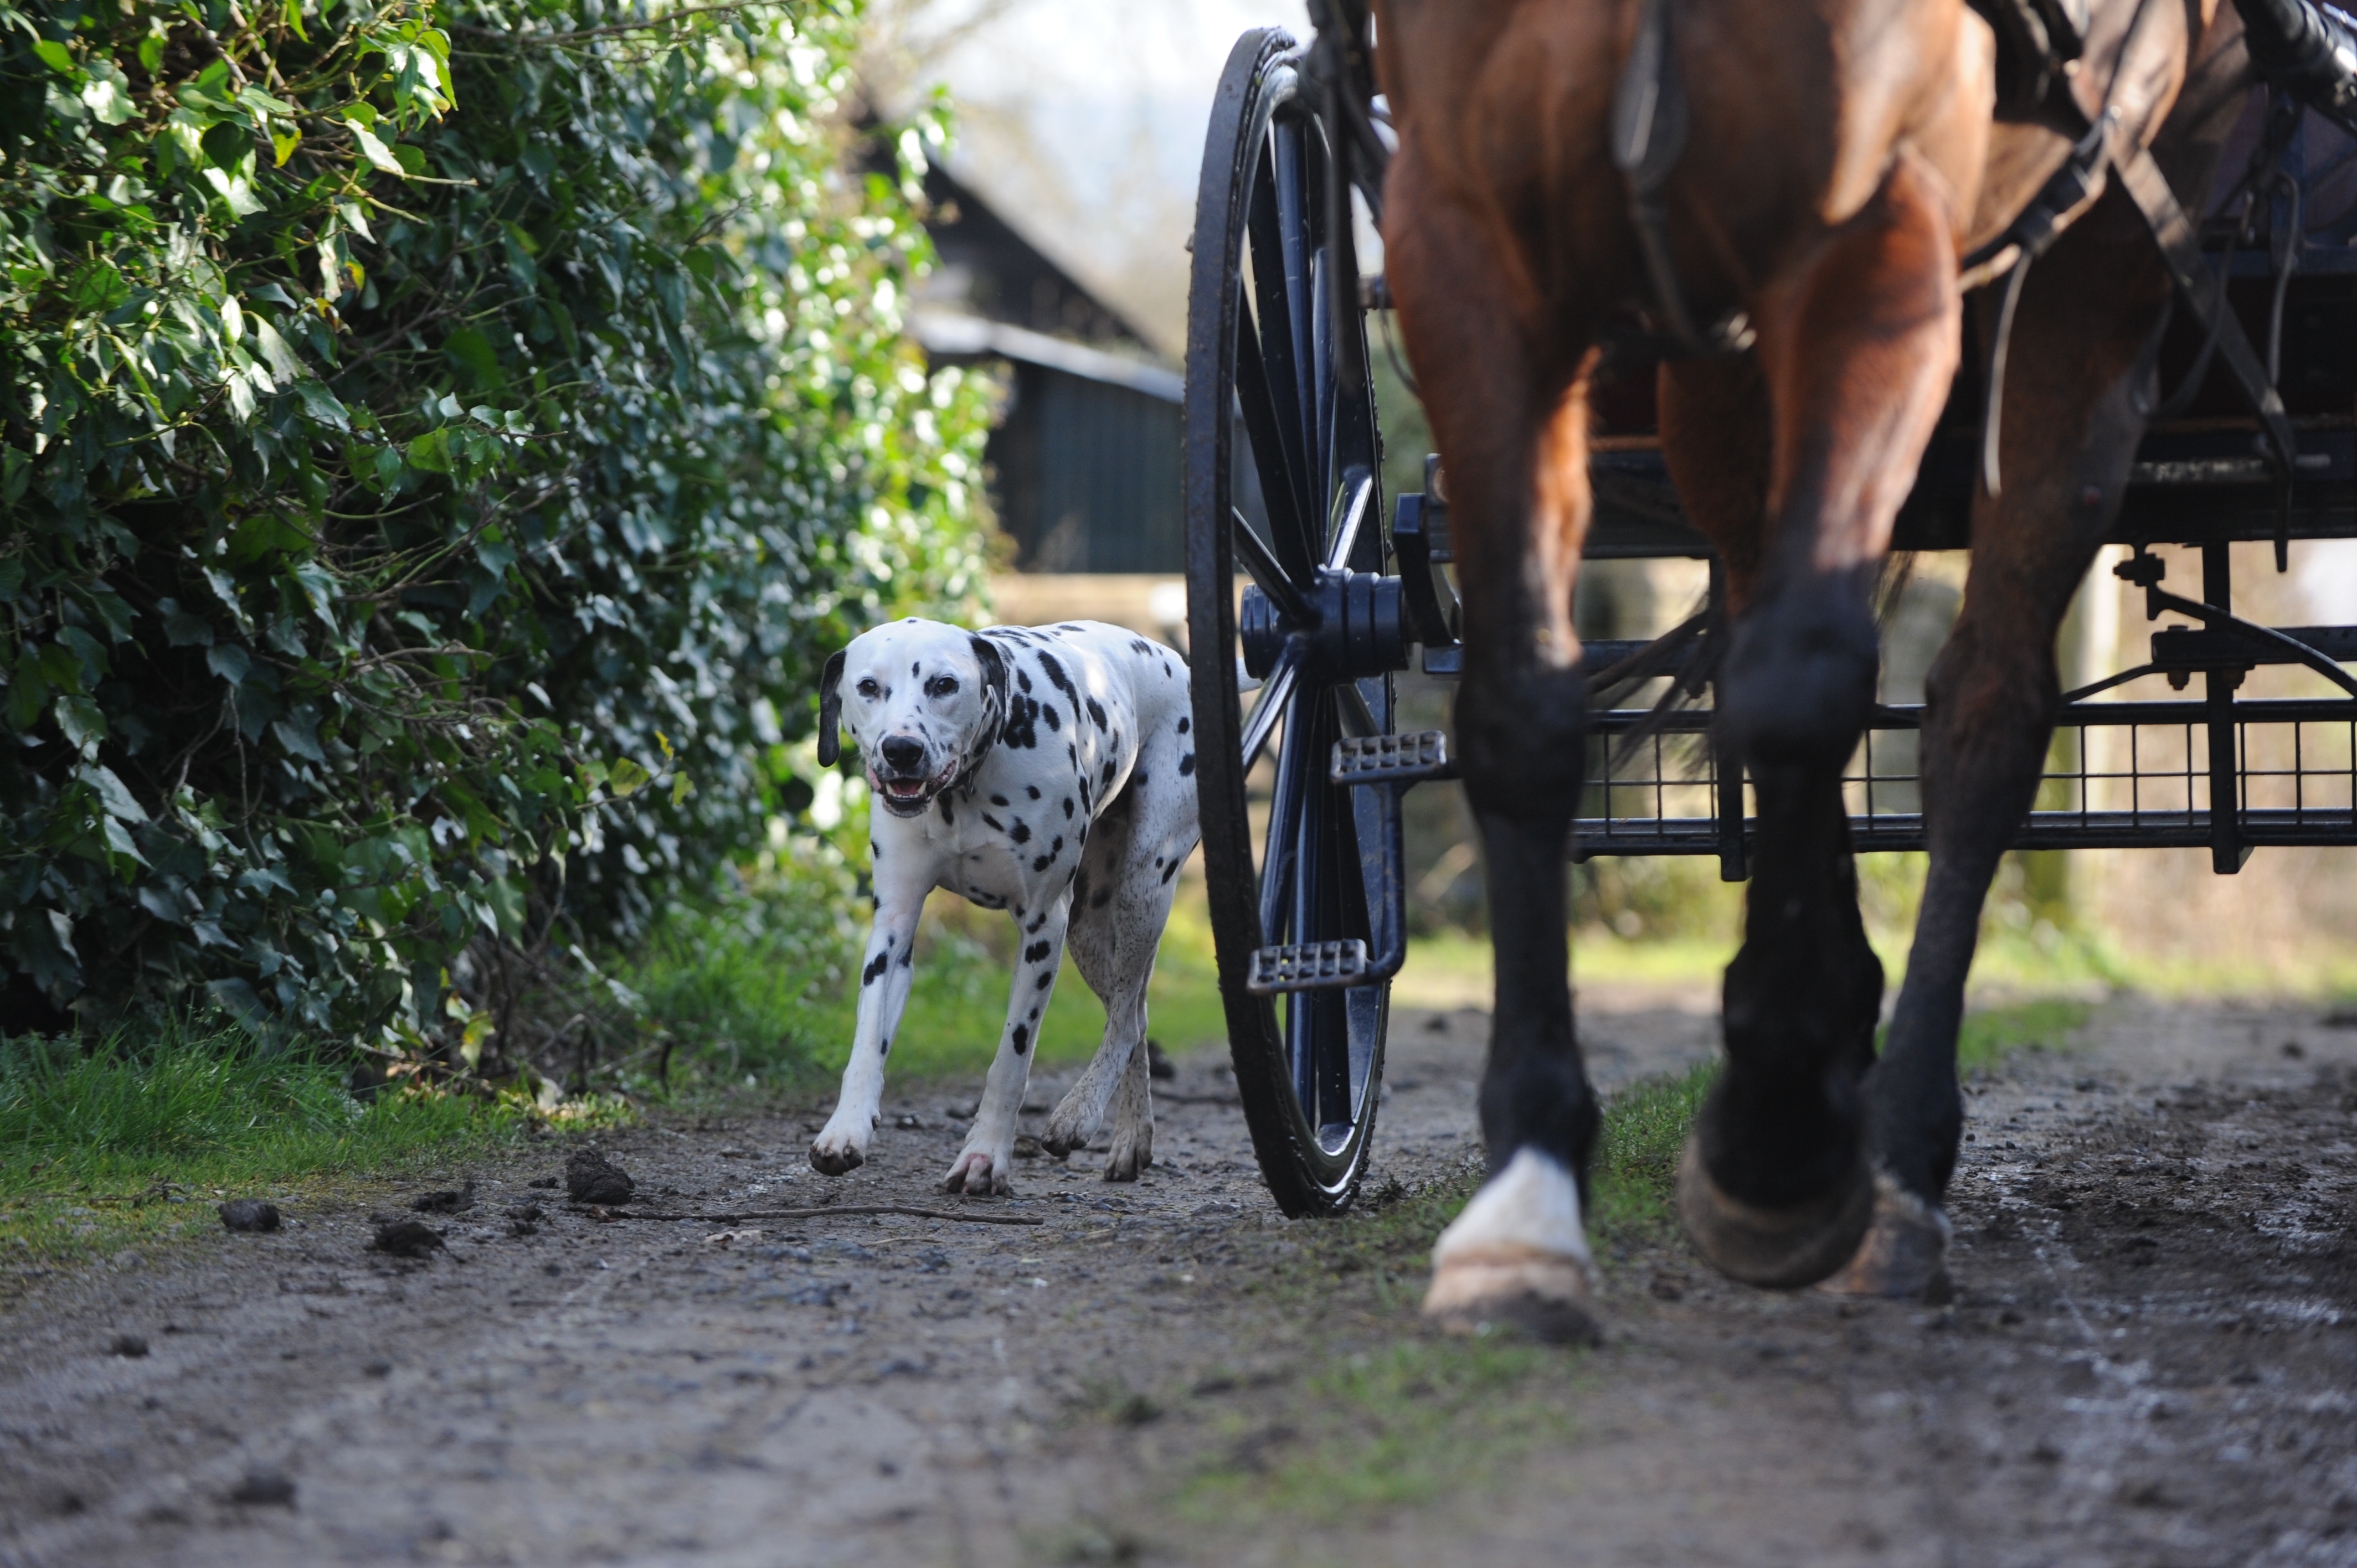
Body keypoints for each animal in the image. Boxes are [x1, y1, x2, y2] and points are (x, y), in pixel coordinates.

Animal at [1369, 0, 2267, 1339]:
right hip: (1717, 353)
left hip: (2095, 259)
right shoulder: (1465, 231)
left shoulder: (1869, 228)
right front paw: (1525, 1197)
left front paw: (1777, 1147)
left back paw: (1894, 1146)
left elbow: (1805, 681)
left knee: (1980, 706)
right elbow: (1523, 704)